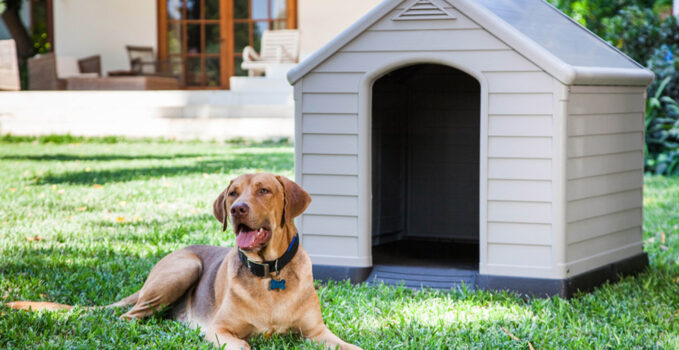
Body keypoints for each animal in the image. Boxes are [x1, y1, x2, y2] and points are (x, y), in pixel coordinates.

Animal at [9, 173, 362, 350]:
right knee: (127, 317)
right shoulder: (221, 329)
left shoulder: (317, 332)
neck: (269, 273)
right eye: (233, 193)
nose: (238, 209)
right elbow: (244, 345)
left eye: (264, 190)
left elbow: (350, 346)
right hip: (184, 267)